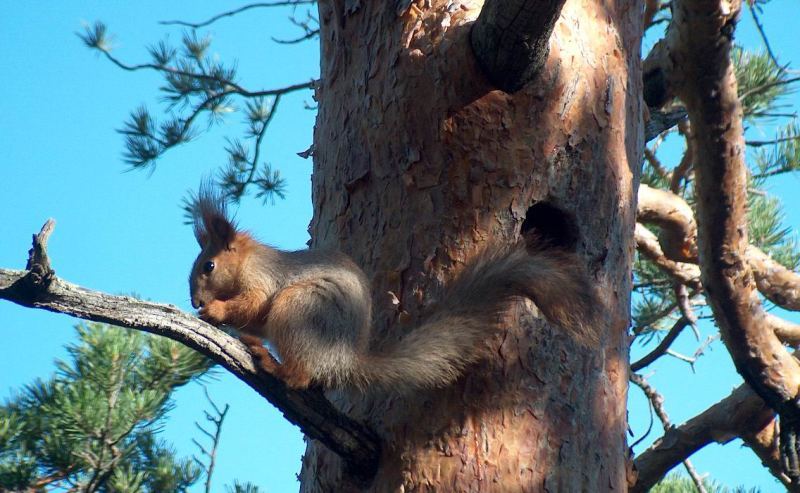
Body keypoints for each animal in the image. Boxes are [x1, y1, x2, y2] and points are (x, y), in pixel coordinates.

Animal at [191, 185, 596, 392]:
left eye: (208, 266)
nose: (194, 299)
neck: (248, 261)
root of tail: (344, 359)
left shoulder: (263, 280)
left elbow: (252, 304)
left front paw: (216, 310)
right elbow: (253, 320)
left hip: (299, 309)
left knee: (302, 377)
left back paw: (273, 365)